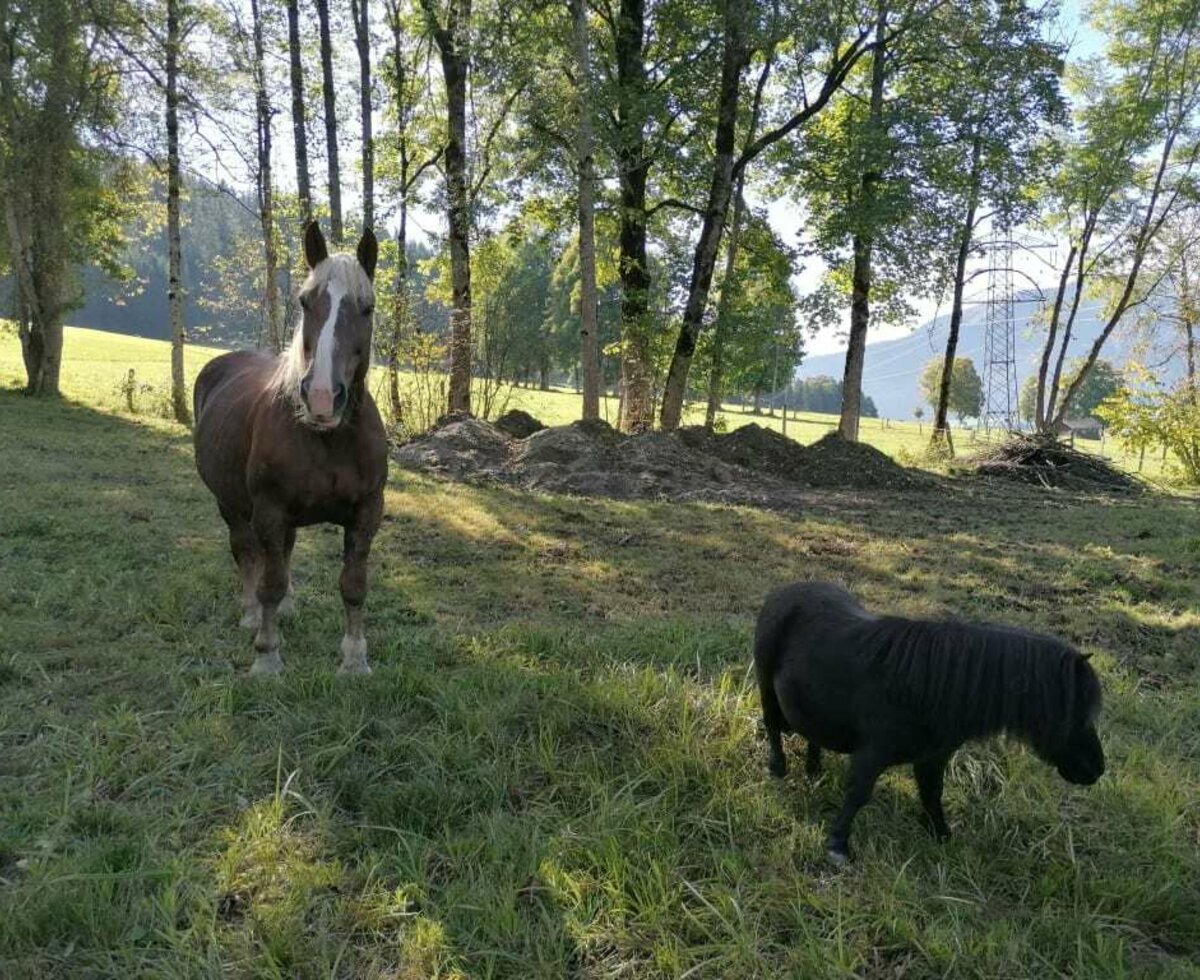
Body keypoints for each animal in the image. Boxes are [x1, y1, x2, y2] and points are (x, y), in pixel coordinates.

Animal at [194, 221, 386, 671]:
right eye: (305, 302)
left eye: (367, 308)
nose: (322, 397)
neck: (329, 438)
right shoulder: (269, 510)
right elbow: (270, 581)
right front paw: (267, 655)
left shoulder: (367, 512)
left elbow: (353, 585)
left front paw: (355, 658)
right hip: (230, 503)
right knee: (246, 551)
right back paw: (251, 613)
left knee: (282, 552)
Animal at [758, 580, 1104, 863]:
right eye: (1074, 712)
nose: (1096, 769)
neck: (928, 688)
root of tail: (784, 591)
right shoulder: (872, 754)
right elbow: (858, 793)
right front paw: (838, 845)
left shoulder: (933, 758)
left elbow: (932, 794)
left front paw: (942, 835)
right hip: (766, 687)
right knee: (772, 726)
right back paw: (778, 768)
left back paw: (814, 769)